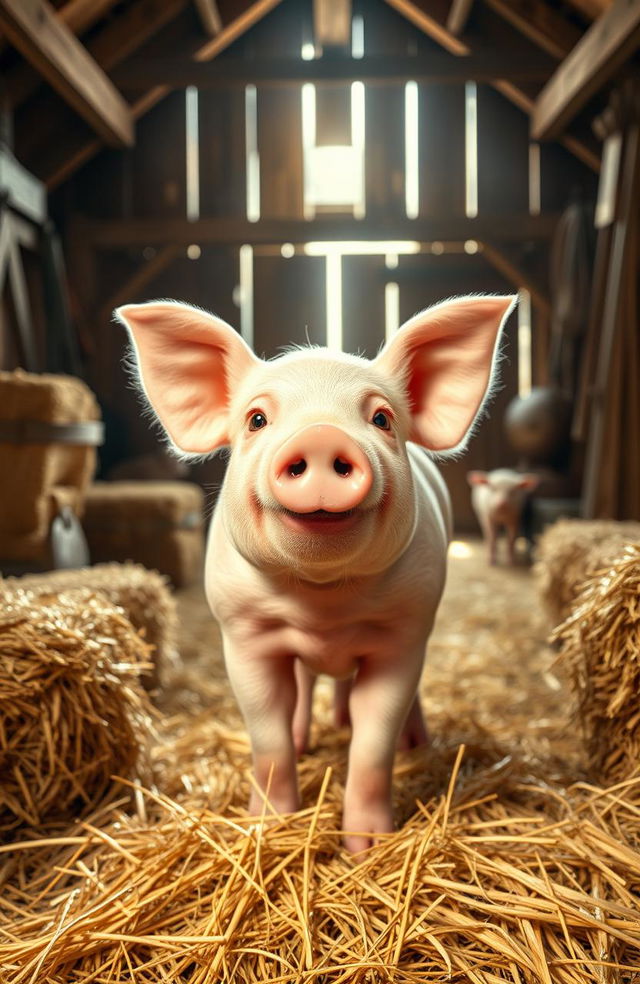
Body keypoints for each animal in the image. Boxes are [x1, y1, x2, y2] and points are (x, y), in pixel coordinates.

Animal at [117, 294, 516, 852]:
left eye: (382, 418)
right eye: (257, 419)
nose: (323, 436)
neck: (324, 605)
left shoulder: (402, 635)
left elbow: (373, 742)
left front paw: (366, 845)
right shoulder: (244, 636)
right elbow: (267, 734)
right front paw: (269, 825)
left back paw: (410, 742)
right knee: (304, 687)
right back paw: (308, 734)